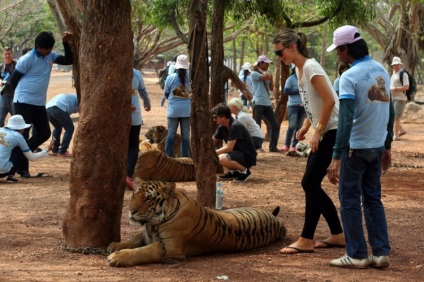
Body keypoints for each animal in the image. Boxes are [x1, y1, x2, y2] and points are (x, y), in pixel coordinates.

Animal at [107, 181, 288, 266]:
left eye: (148, 198)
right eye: (134, 195)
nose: (131, 211)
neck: (152, 224)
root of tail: (275, 220)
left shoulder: (170, 248)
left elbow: (142, 251)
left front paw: (117, 257)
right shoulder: (146, 234)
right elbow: (134, 240)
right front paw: (115, 245)